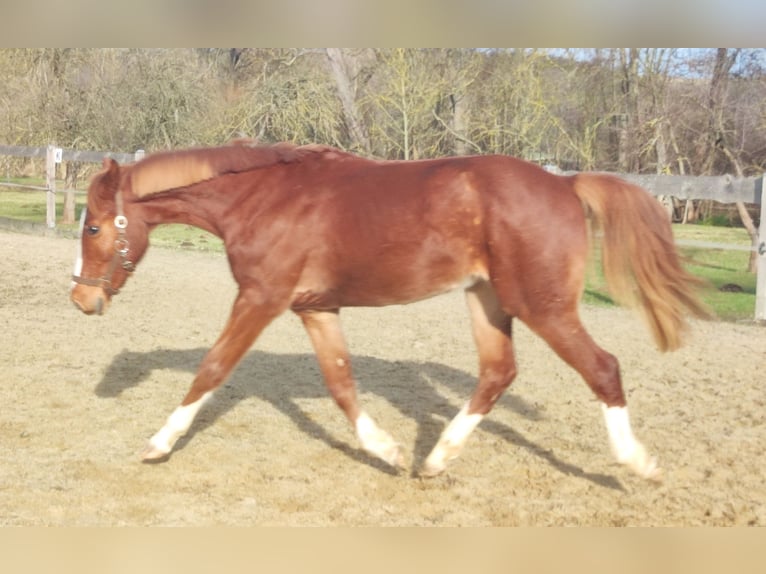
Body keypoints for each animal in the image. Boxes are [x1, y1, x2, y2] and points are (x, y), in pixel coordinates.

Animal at [70, 144, 708, 482]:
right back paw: (433, 460)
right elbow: (341, 383)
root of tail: (566, 182)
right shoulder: (316, 308)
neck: (262, 200)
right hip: (487, 301)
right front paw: (388, 450)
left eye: (94, 227)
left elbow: (212, 368)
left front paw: (158, 443)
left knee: (602, 368)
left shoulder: (260, 298)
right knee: (498, 372)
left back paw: (638, 462)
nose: (81, 300)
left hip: (543, 306)